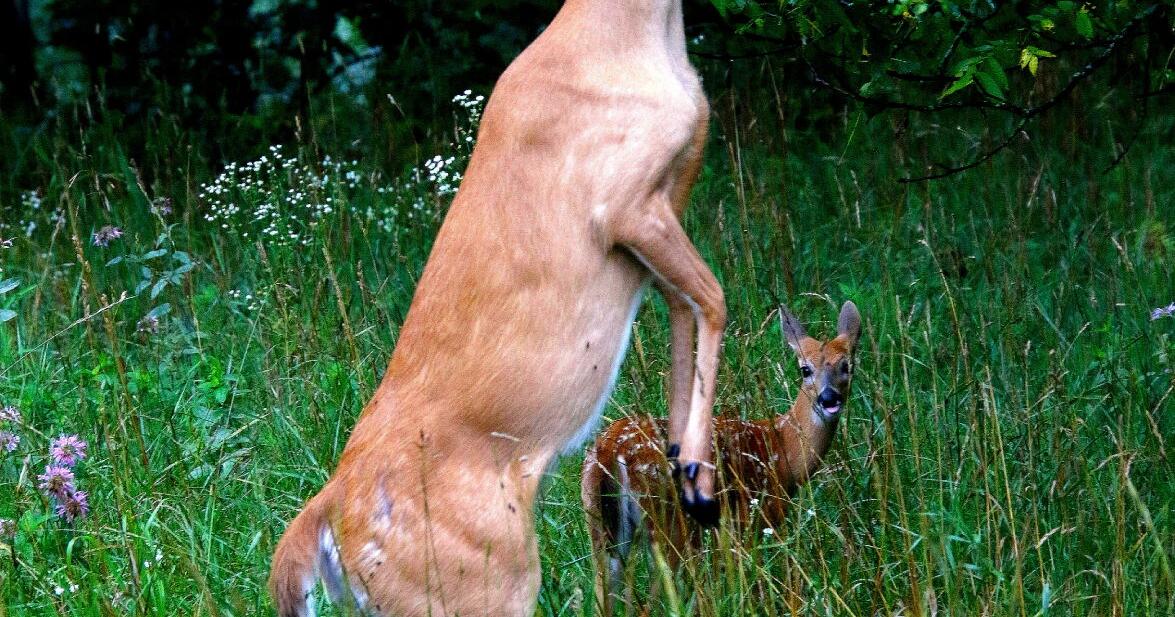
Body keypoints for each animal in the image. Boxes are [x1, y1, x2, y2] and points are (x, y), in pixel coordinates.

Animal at [268, 1, 724, 616]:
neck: (633, 37)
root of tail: (330, 516)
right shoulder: (624, 202)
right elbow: (714, 299)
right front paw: (700, 483)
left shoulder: (670, 195)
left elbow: (685, 312)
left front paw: (684, 461)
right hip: (484, 581)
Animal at [582, 302, 862, 615]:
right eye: (805, 369)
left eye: (847, 365)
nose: (829, 399)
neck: (782, 452)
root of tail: (609, 450)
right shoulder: (752, 520)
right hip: (668, 522)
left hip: (600, 526)